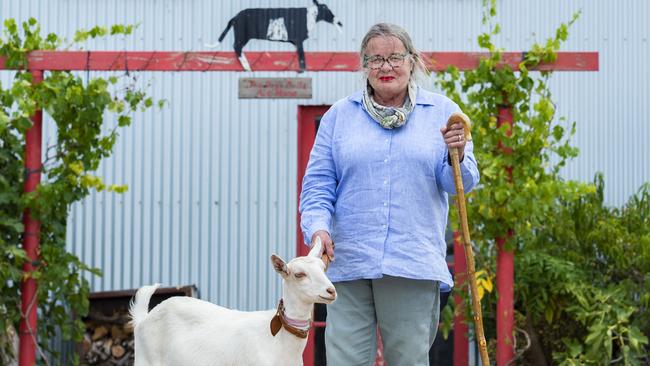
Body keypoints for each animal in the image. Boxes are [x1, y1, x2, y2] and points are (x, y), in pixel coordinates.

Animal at [130, 237, 336, 366]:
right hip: (146, 361)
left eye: (323, 268)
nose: (331, 291)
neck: (279, 341)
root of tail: (144, 318)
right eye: (299, 274)